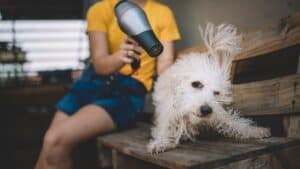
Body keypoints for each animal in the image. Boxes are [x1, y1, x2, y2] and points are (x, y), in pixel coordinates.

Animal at [148, 23, 272, 154]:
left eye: (216, 93)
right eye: (196, 84)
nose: (206, 110)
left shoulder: (218, 112)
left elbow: (236, 123)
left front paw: (255, 130)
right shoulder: (169, 112)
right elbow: (165, 128)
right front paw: (160, 142)